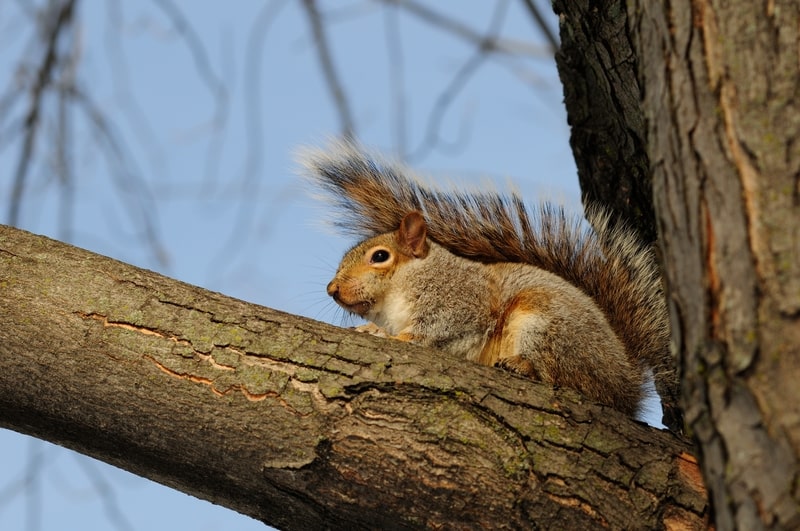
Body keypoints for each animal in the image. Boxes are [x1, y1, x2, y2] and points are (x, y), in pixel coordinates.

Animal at [300, 139, 680, 430]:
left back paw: (523, 366)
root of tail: (626, 380)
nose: (332, 289)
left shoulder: (460, 301)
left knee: (573, 380)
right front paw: (370, 330)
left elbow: (433, 330)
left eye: (379, 257)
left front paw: (390, 337)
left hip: (546, 324)